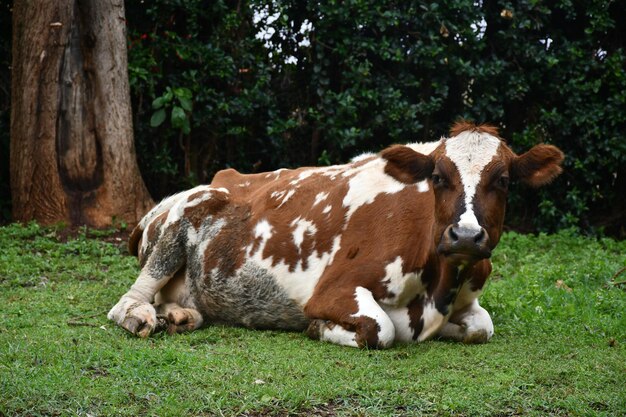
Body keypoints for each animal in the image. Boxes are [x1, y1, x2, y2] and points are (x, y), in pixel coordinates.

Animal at [109, 121, 564, 348]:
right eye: (438, 176)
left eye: (503, 181)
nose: (466, 236)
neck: (440, 283)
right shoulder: (333, 290)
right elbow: (380, 329)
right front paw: (321, 329)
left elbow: (481, 327)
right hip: (184, 216)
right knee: (126, 303)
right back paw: (141, 317)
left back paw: (180, 315)